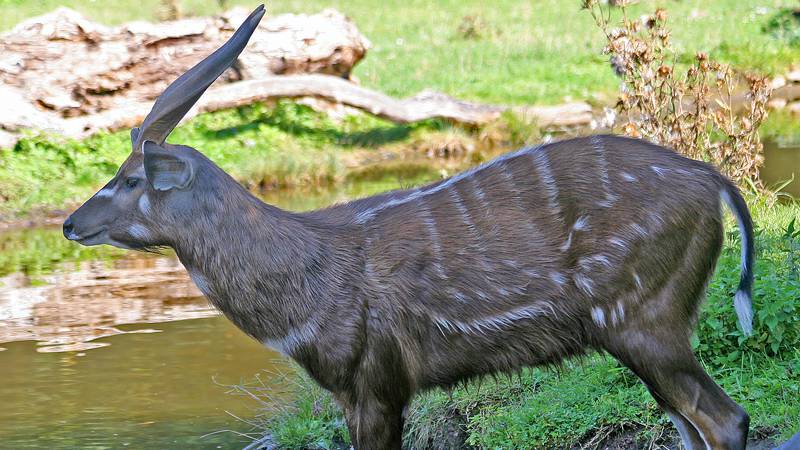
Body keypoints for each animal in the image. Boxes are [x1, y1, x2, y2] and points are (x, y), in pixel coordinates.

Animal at [64, 5, 756, 448]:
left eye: (131, 178)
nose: (72, 223)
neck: (305, 275)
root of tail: (711, 181)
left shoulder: (374, 384)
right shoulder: (362, 393)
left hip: (642, 321)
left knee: (727, 421)